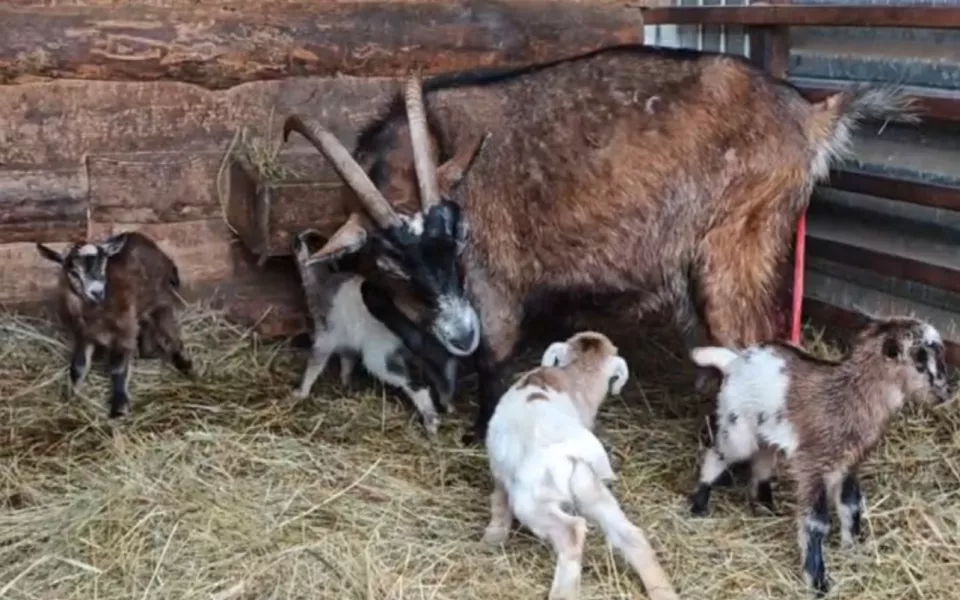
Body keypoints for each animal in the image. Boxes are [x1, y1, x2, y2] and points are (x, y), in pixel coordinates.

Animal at [36, 232, 194, 420]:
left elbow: (118, 369)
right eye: (73, 272)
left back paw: (184, 364)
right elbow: (78, 366)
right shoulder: (84, 334)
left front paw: (119, 408)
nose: (97, 292)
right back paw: (148, 351)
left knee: (170, 332)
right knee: (146, 324)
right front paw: (71, 395)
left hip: (160, 300)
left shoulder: (123, 331)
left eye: (104, 263)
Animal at [288, 229, 458, 436]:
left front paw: (301, 392)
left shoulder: (325, 338)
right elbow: (347, 363)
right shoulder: (347, 343)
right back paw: (447, 401)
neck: (322, 279)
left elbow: (314, 366)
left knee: (418, 386)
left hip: (378, 357)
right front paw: (345, 384)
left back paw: (431, 421)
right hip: (419, 343)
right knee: (440, 362)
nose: (296, 236)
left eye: (304, 242)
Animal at [488, 330, 676, 596]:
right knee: (631, 534)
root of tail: (571, 449)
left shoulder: (499, 471)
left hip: (531, 502)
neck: (576, 377)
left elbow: (499, 500)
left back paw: (562, 593)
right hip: (592, 488)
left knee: (573, 531)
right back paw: (663, 591)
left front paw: (492, 536)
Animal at [688, 316, 952, 596]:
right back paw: (699, 506)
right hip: (738, 428)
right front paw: (818, 582)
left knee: (762, 463)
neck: (850, 396)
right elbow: (816, 523)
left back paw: (765, 507)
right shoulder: (814, 465)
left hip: (766, 433)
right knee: (717, 455)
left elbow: (850, 505)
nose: (947, 391)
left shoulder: (847, 464)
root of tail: (734, 360)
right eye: (920, 361)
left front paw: (853, 549)